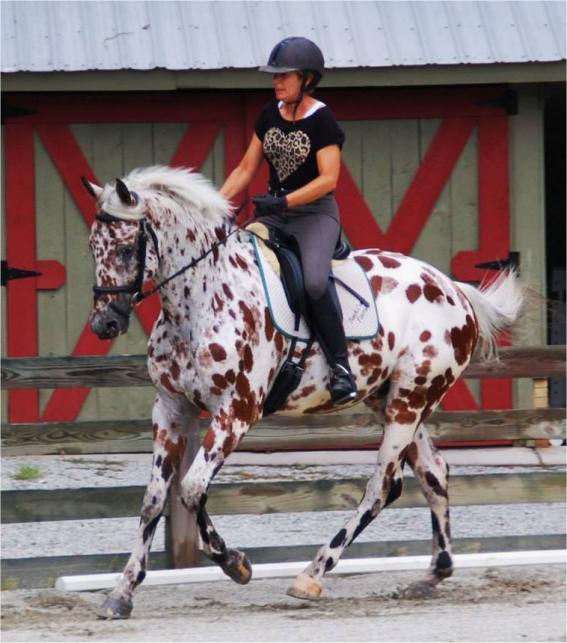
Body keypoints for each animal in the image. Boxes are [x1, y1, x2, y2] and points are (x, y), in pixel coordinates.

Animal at [84, 165, 524, 620]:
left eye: (124, 249)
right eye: (93, 247)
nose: (105, 324)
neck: (202, 299)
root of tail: (453, 289)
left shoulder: (236, 412)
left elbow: (191, 489)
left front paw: (235, 563)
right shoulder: (172, 410)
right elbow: (154, 499)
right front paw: (121, 593)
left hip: (409, 402)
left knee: (382, 486)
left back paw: (312, 575)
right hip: (394, 402)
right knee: (433, 472)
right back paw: (433, 574)